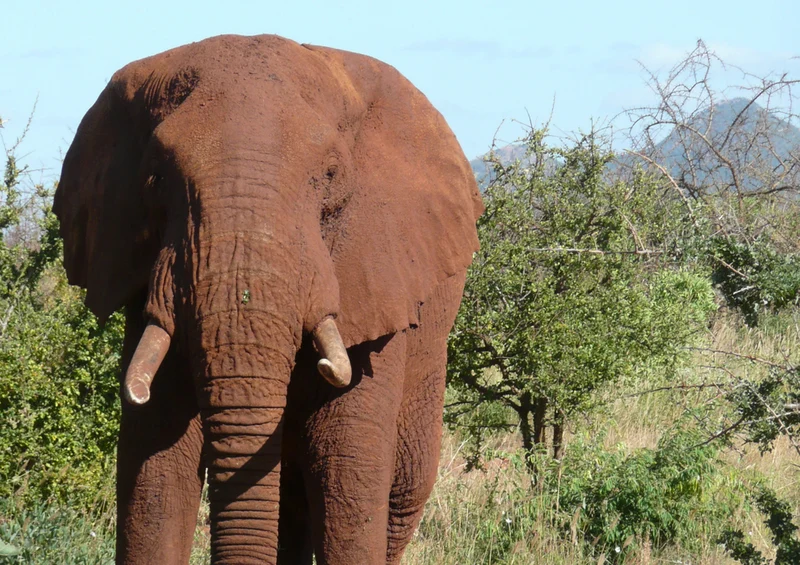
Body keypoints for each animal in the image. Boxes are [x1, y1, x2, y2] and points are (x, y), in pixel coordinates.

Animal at [54, 34, 482, 565]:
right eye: (155, 178)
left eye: (331, 174)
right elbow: (153, 463)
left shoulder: (379, 275)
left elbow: (348, 467)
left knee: (399, 495)